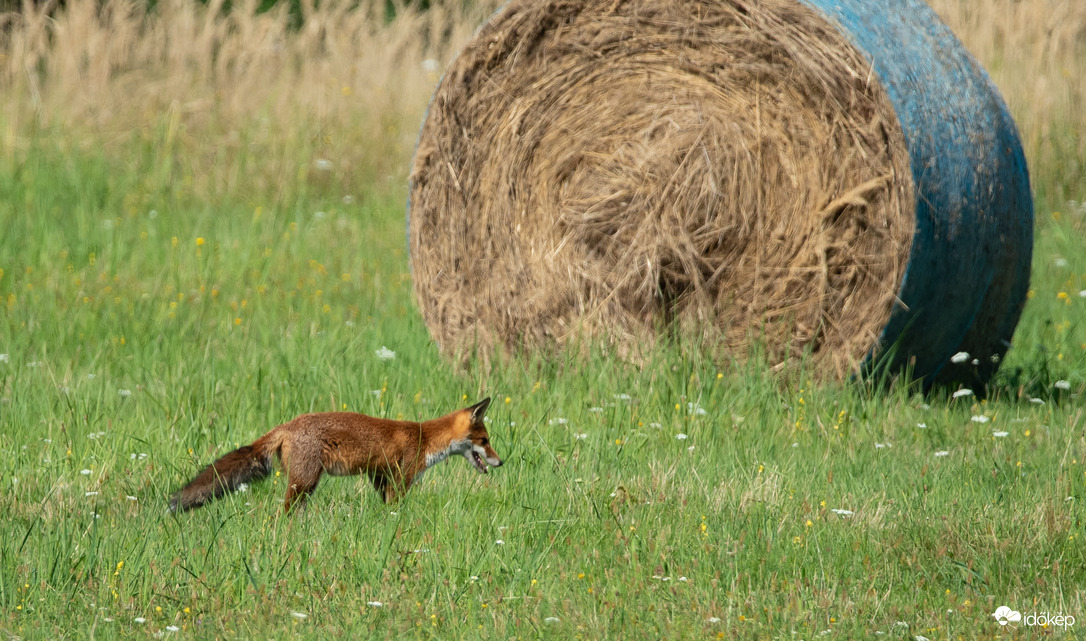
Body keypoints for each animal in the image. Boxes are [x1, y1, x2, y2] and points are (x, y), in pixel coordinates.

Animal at [169, 399, 499, 514]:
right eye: (485, 441)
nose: (501, 461)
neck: (425, 438)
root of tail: (287, 424)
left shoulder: (380, 477)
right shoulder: (400, 480)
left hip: (306, 485)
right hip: (304, 483)